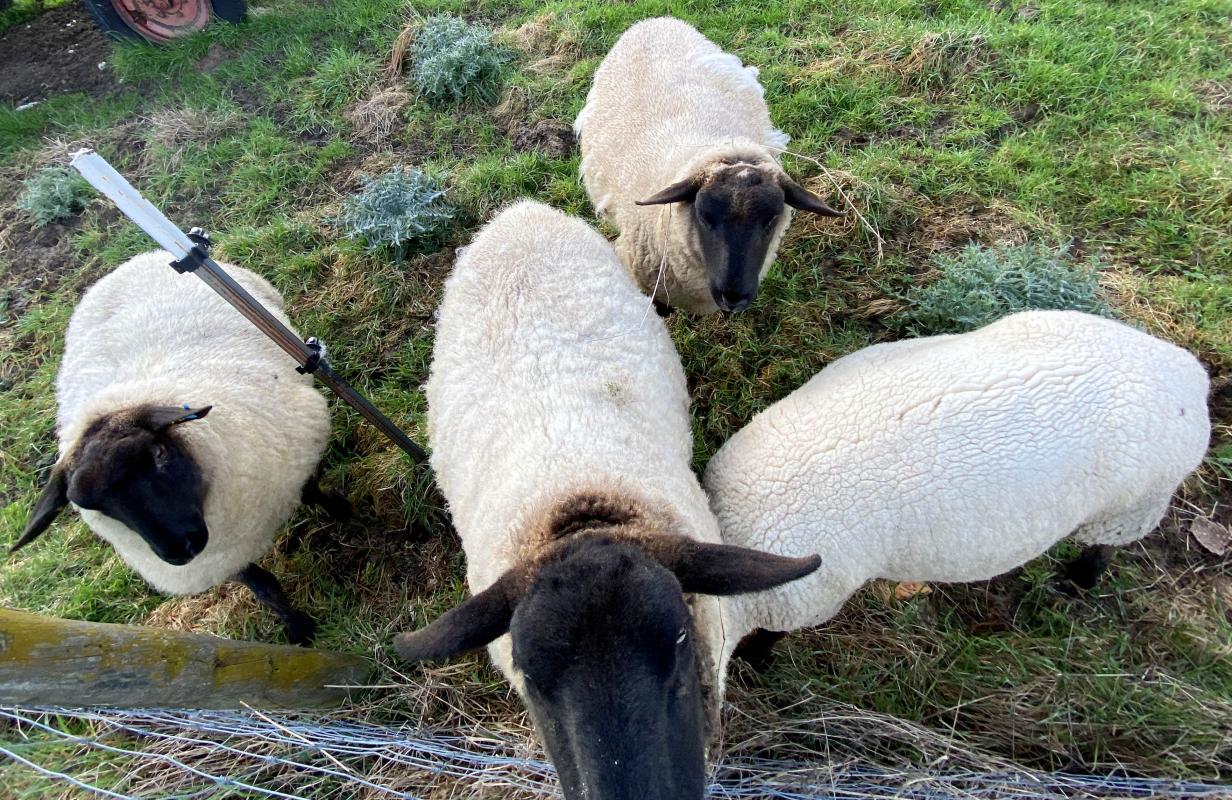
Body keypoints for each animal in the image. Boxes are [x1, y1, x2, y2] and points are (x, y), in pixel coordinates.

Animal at [15, 252, 332, 645]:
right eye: (92, 506)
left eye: (159, 454)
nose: (179, 550)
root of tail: (127, 262)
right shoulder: (217, 559)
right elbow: (265, 587)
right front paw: (298, 629)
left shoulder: (295, 452)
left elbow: (314, 490)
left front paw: (347, 514)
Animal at [704, 309, 1212, 685]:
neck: (728, 519)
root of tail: (1190, 374)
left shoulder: (806, 600)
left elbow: (768, 639)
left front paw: (755, 664)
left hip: (1133, 503)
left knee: (1104, 548)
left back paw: (1076, 580)